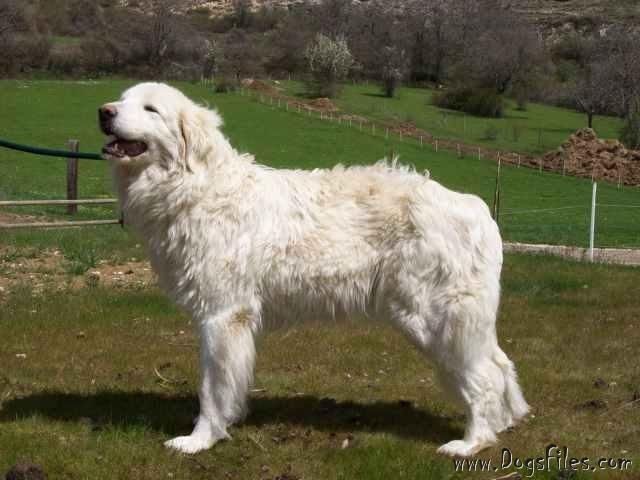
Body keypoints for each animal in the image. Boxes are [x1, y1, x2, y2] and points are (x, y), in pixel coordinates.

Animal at [99, 82, 528, 457]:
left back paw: (472, 443)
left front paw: (201, 439)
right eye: (122, 99)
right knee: (500, 365)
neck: (196, 185)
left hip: (433, 318)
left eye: (150, 109)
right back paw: (502, 423)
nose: (104, 112)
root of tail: (477, 208)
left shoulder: (222, 316)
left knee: (484, 378)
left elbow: (212, 387)